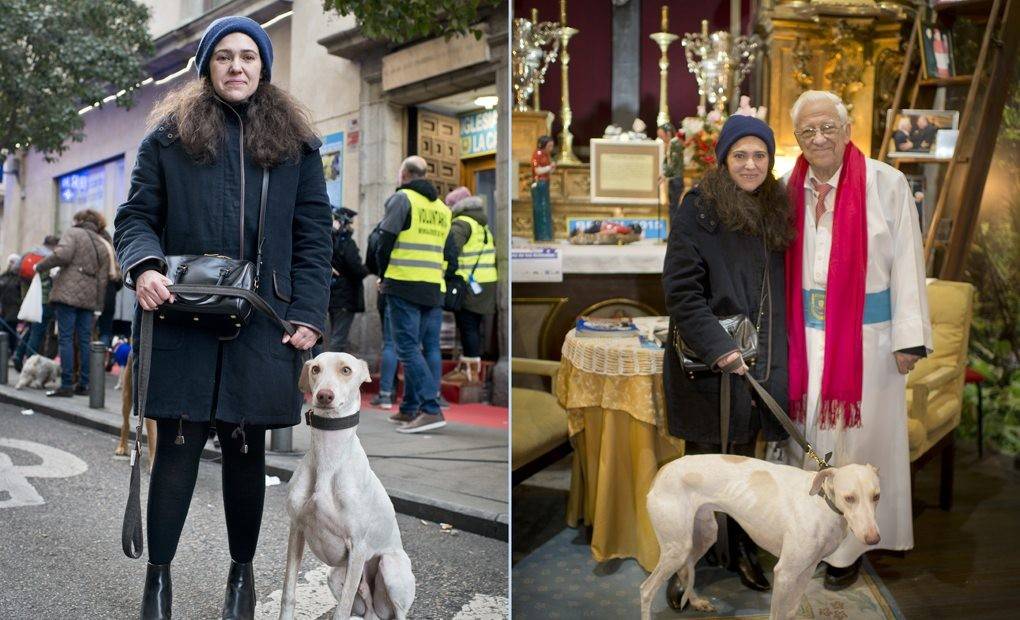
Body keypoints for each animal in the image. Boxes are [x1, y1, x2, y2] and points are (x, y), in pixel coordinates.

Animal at [279, 352, 414, 620]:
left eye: (346, 370)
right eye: (315, 369)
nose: (324, 395)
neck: (328, 460)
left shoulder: (358, 546)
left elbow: (341, 610)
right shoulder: (296, 529)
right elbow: (288, 592)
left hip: (390, 567)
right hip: (335, 574)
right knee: (365, 608)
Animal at [640, 454, 881, 620]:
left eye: (876, 496)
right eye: (849, 498)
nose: (874, 539)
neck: (821, 502)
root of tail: (663, 470)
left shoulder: (808, 568)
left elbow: (791, 611)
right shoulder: (784, 573)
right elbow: (777, 614)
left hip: (703, 536)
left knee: (685, 570)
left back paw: (697, 602)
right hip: (677, 548)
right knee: (646, 590)